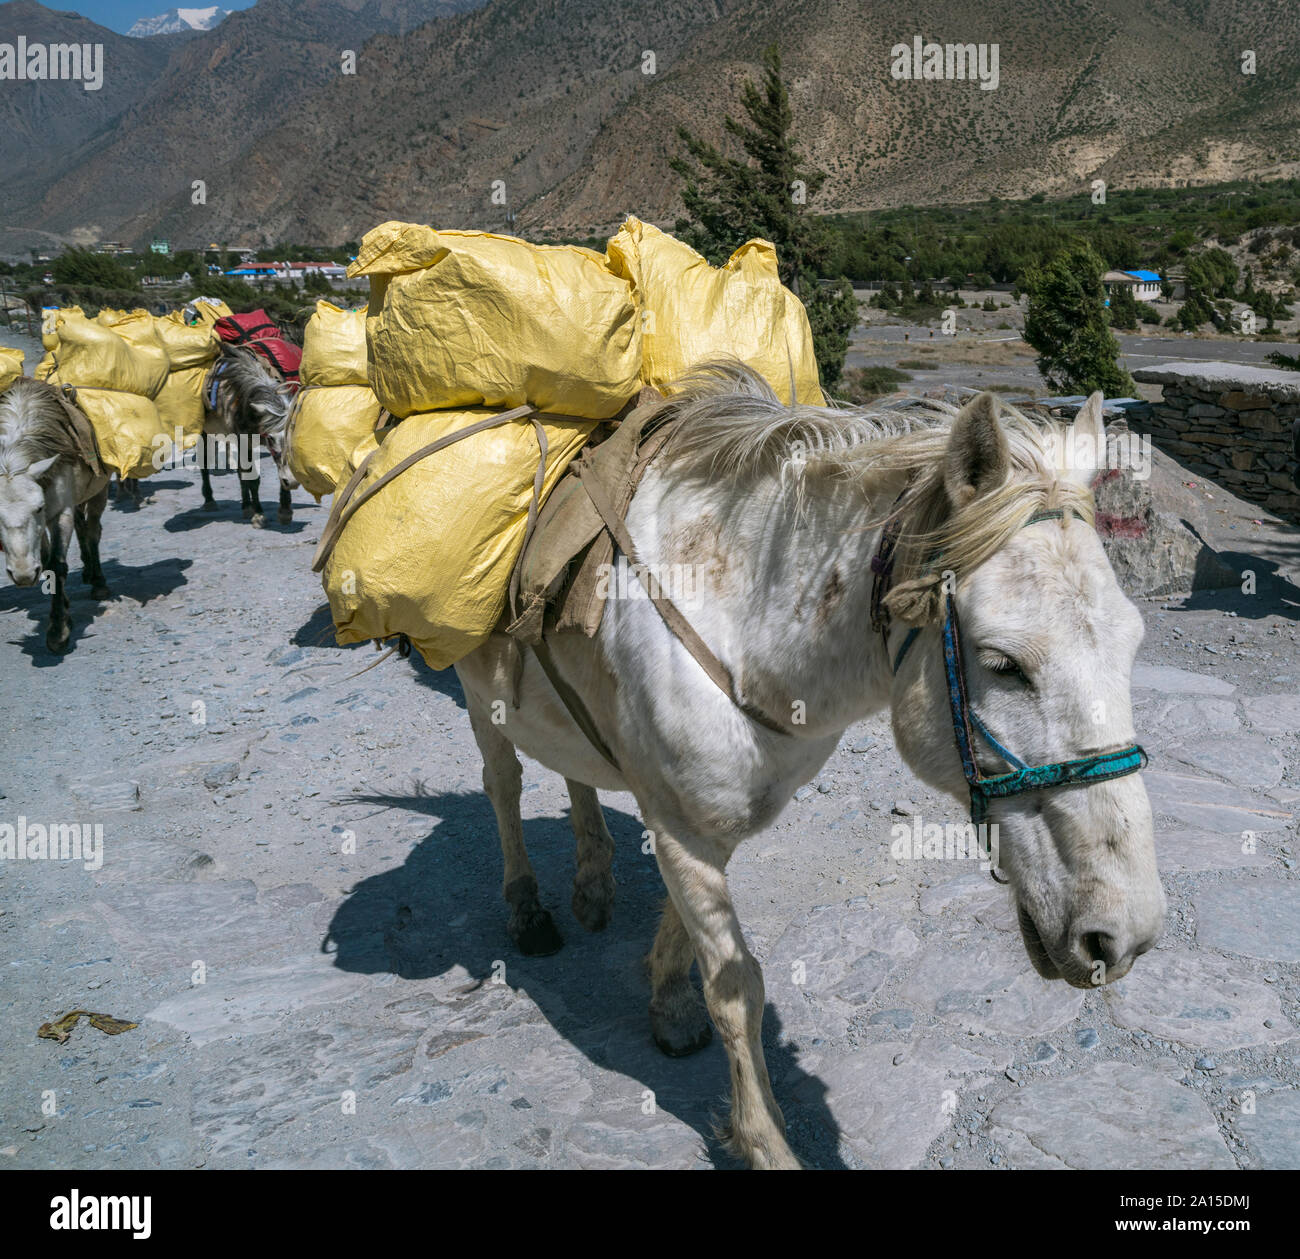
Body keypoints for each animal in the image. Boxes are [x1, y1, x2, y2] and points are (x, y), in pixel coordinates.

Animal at [0, 379, 110, 652]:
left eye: (38, 508)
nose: (23, 575)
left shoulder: (58, 512)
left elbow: (57, 564)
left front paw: (58, 632)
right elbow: (48, 561)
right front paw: (64, 618)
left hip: (99, 490)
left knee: (93, 531)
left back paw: (98, 582)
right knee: (83, 528)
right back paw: (88, 571)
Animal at [454, 366, 1159, 1170]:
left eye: (1134, 643)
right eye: (1002, 664)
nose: (1124, 936)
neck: (739, 619)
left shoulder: (703, 814)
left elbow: (684, 927)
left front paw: (668, 1002)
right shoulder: (683, 824)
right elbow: (735, 985)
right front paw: (764, 1140)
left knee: (574, 770)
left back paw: (593, 884)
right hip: (476, 695)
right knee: (503, 785)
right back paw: (527, 909)